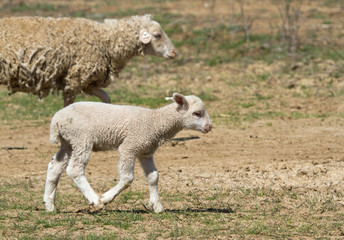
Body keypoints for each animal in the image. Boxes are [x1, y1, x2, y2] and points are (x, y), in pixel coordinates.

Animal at [0, 14, 177, 106]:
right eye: (157, 35)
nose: (175, 52)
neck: (106, 40)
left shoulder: (88, 83)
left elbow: (106, 98)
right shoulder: (74, 79)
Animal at [43, 93, 212, 213]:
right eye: (197, 113)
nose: (210, 127)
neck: (155, 121)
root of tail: (56, 120)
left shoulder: (145, 151)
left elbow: (153, 177)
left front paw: (156, 205)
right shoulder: (129, 147)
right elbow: (127, 178)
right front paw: (106, 198)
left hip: (68, 142)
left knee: (54, 167)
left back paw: (49, 205)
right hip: (81, 138)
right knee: (75, 169)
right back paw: (95, 200)